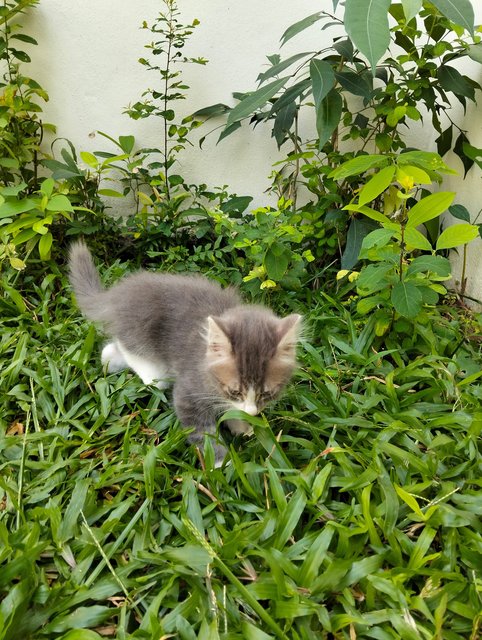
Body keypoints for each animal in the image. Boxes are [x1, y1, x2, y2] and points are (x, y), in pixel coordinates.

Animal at [68, 240, 302, 464]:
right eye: (235, 391)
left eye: (267, 394)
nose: (253, 412)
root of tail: (119, 294)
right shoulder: (189, 390)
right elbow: (203, 433)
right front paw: (221, 464)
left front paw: (240, 425)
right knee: (135, 356)